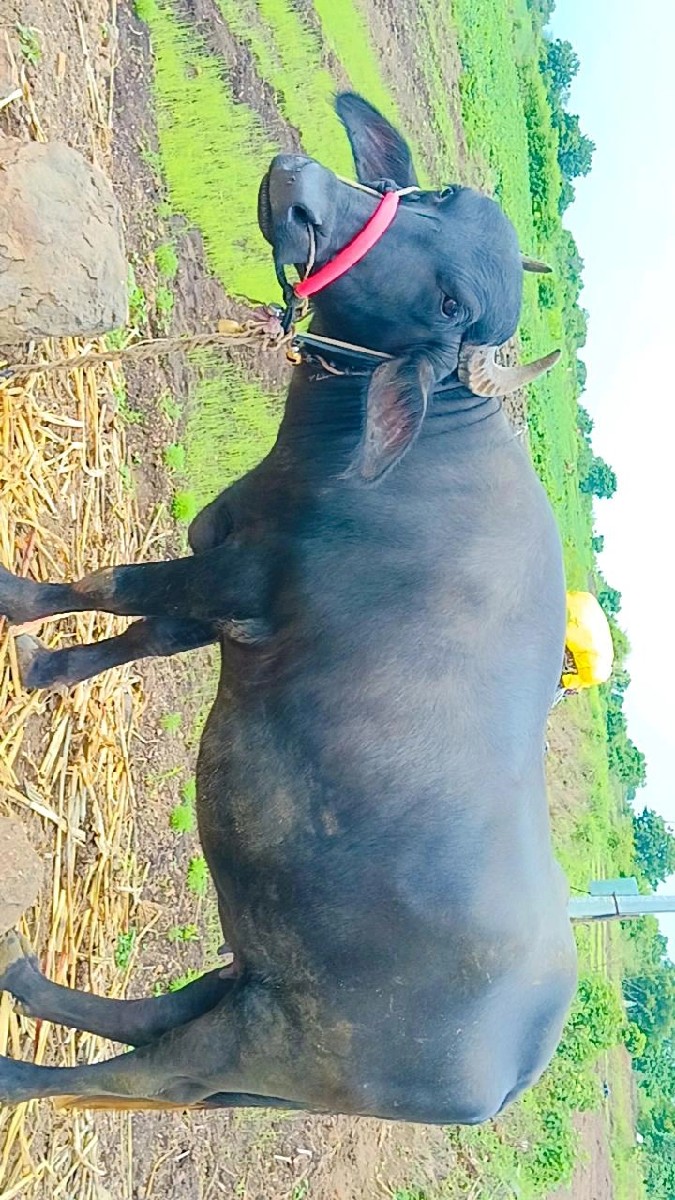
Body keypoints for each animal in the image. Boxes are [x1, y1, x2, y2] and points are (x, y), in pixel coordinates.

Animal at [0, 94, 577, 1123]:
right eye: (435, 194)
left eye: (450, 305)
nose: (300, 185)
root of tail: (503, 1081)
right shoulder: (221, 577)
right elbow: (144, 632)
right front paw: (50, 667)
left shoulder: (237, 584)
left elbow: (113, 585)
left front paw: (8, 603)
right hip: (263, 977)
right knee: (162, 1017)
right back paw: (23, 981)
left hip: (270, 1046)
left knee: (143, 1072)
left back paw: (10, 1064)